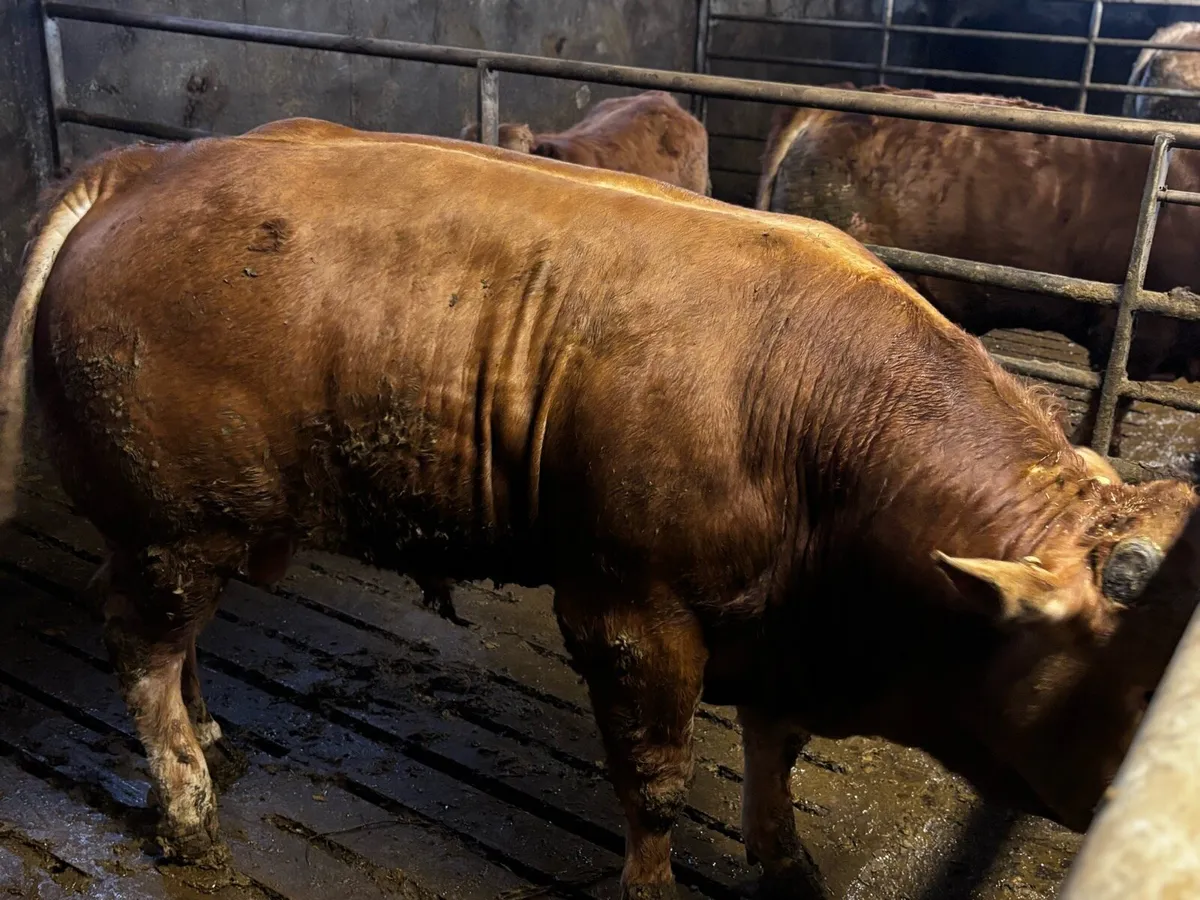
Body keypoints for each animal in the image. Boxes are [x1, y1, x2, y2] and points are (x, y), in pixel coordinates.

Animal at [2, 117, 1196, 900]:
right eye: (1146, 695)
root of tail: (145, 165)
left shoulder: (780, 626)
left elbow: (777, 746)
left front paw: (789, 862)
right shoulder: (631, 611)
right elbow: (654, 779)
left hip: (186, 526)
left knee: (178, 643)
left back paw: (211, 732)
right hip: (168, 522)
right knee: (142, 650)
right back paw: (189, 808)